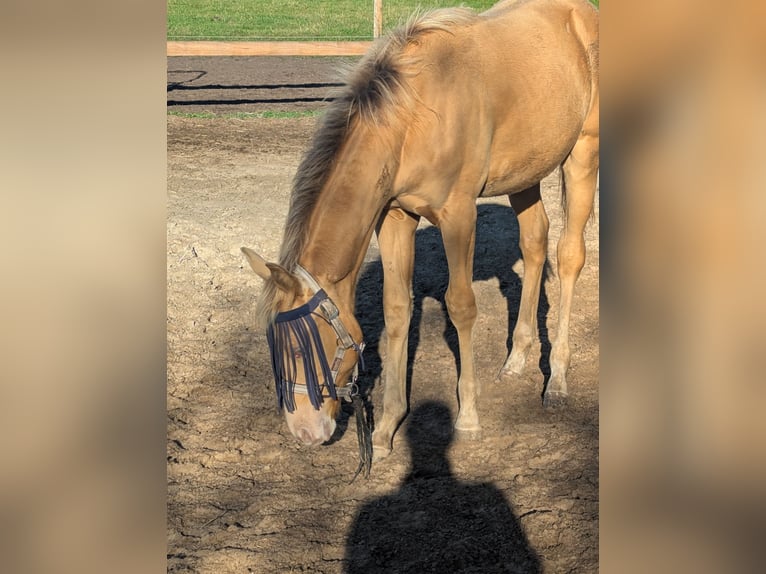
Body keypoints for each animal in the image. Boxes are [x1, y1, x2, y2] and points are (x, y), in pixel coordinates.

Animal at [242, 0, 599, 461]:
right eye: (274, 347)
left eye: (307, 346)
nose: (305, 431)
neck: (413, 117)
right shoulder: (395, 217)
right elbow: (397, 310)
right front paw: (387, 427)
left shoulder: (458, 215)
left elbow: (461, 306)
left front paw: (468, 418)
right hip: (526, 172)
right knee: (535, 243)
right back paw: (517, 358)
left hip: (582, 155)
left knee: (569, 256)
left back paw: (556, 380)